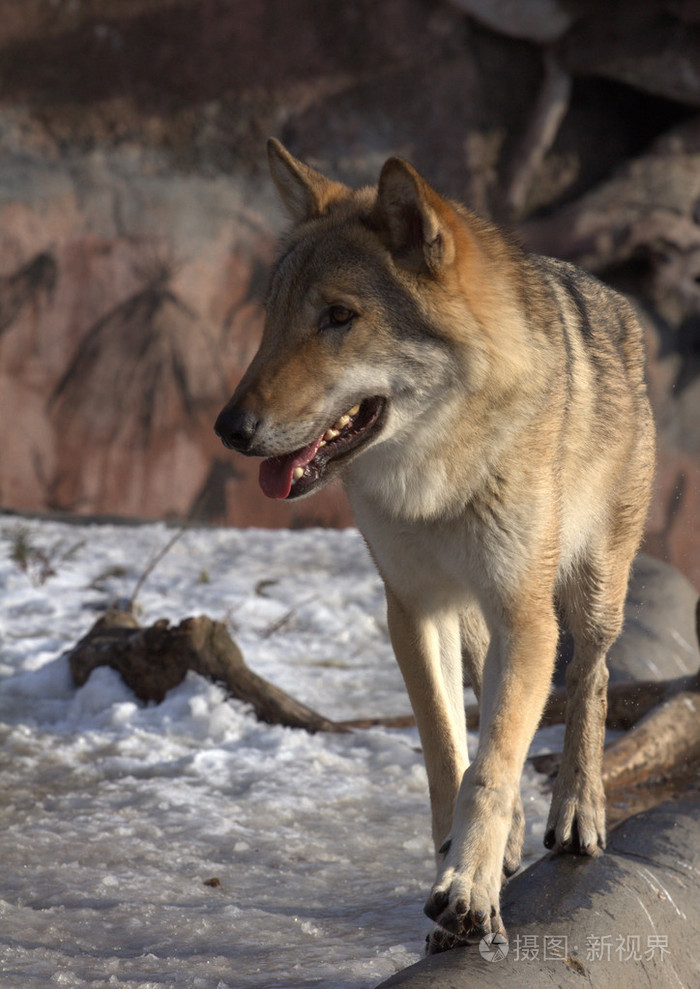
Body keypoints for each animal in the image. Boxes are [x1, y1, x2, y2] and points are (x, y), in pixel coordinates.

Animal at [213, 139, 656, 948]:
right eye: (272, 317)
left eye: (339, 316)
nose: (229, 428)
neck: (434, 475)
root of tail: (614, 300)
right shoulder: (415, 608)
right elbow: (452, 749)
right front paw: (463, 862)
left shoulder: (526, 617)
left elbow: (493, 763)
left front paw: (469, 893)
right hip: (477, 622)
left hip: (589, 595)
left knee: (592, 678)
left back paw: (578, 814)